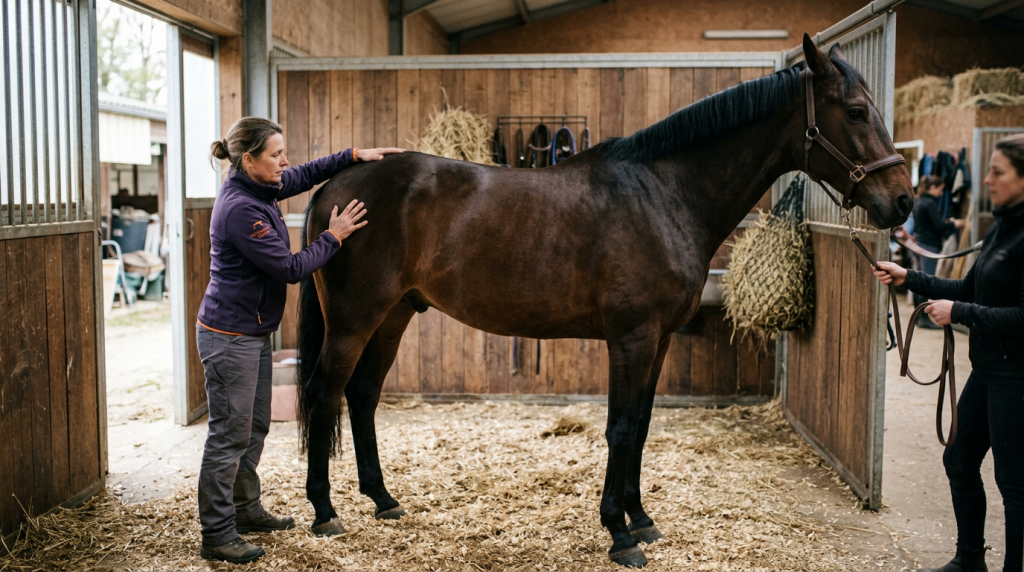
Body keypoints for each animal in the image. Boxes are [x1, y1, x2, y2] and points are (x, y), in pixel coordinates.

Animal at [294, 35, 914, 568]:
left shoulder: (658, 340)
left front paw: (641, 519)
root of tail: (335, 188)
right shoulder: (632, 338)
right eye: (856, 112)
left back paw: (383, 500)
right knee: (325, 394)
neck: (663, 194)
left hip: (394, 315)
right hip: (353, 320)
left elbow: (639, 425)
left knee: (362, 395)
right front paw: (619, 534)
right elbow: (619, 427)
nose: (903, 201)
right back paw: (325, 513)